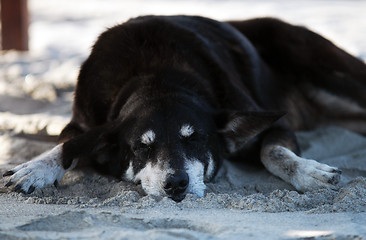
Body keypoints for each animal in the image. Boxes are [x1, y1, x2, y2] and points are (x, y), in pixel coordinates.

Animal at [3, 15, 366, 202]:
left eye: (194, 140)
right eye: (142, 148)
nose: (176, 184)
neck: (154, 74)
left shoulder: (275, 123)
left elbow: (272, 152)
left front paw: (307, 172)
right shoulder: (80, 124)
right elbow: (68, 146)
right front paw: (36, 167)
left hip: (331, 79)